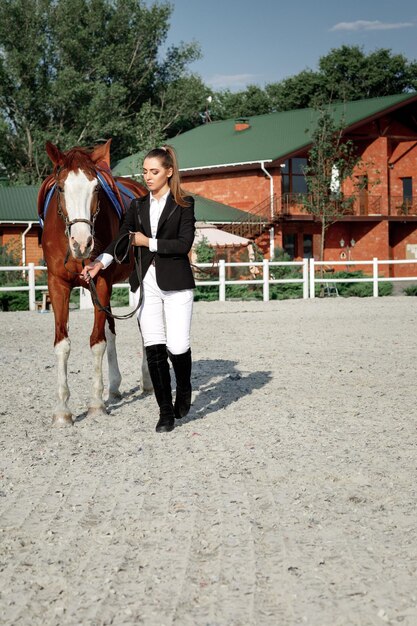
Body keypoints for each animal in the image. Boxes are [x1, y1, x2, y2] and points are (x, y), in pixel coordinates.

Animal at [38, 140, 152, 424]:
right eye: (60, 187)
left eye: (96, 188)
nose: (82, 243)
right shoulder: (58, 285)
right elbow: (63, 344)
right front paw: (62, 410)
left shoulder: (100, 282)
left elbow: (97, 342)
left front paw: (95, 404)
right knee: (111, 329)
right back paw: (114, 387)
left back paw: (146, 381)